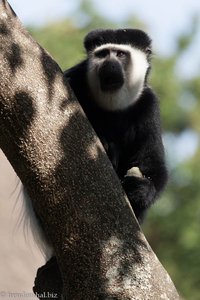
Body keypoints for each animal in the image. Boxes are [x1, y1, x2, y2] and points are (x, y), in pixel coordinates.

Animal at [64, 28, 167, 223]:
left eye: (120, 54)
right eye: (103, 54)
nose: (109, 65)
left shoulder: (149, 107)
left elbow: (153, 164)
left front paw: (141, 188)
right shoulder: (72, 80)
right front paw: (105, 143)